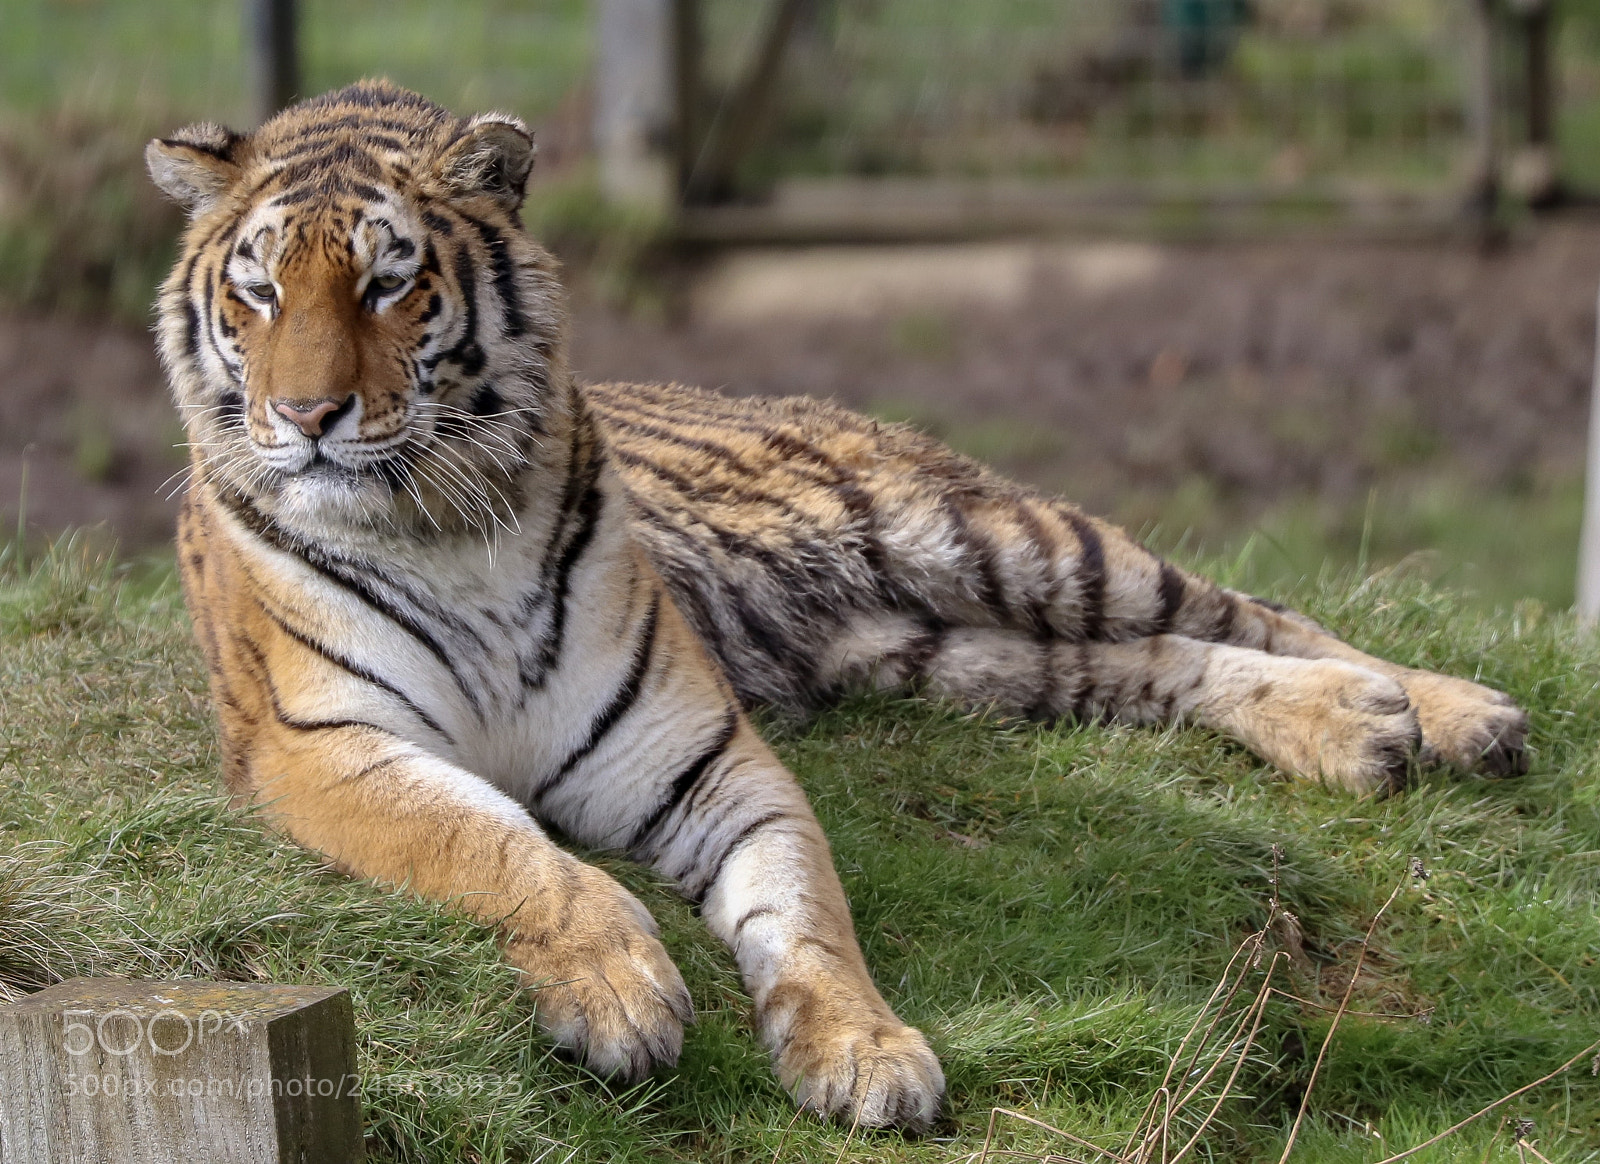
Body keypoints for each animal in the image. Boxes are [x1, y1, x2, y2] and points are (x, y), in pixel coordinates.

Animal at [145, 81, 1528, 1131]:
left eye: (389, 284)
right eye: (260, 294)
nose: (305, 417)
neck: (449, 521)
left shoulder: (703, 753)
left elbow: (807, 915)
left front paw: (866, 1051)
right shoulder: (324, 745)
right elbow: (498, 845)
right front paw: (619, 993)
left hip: (995, 538)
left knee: (1248, 607)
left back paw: (1441, 713)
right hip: (942, 654)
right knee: (1150, 662)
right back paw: (1360, 728)